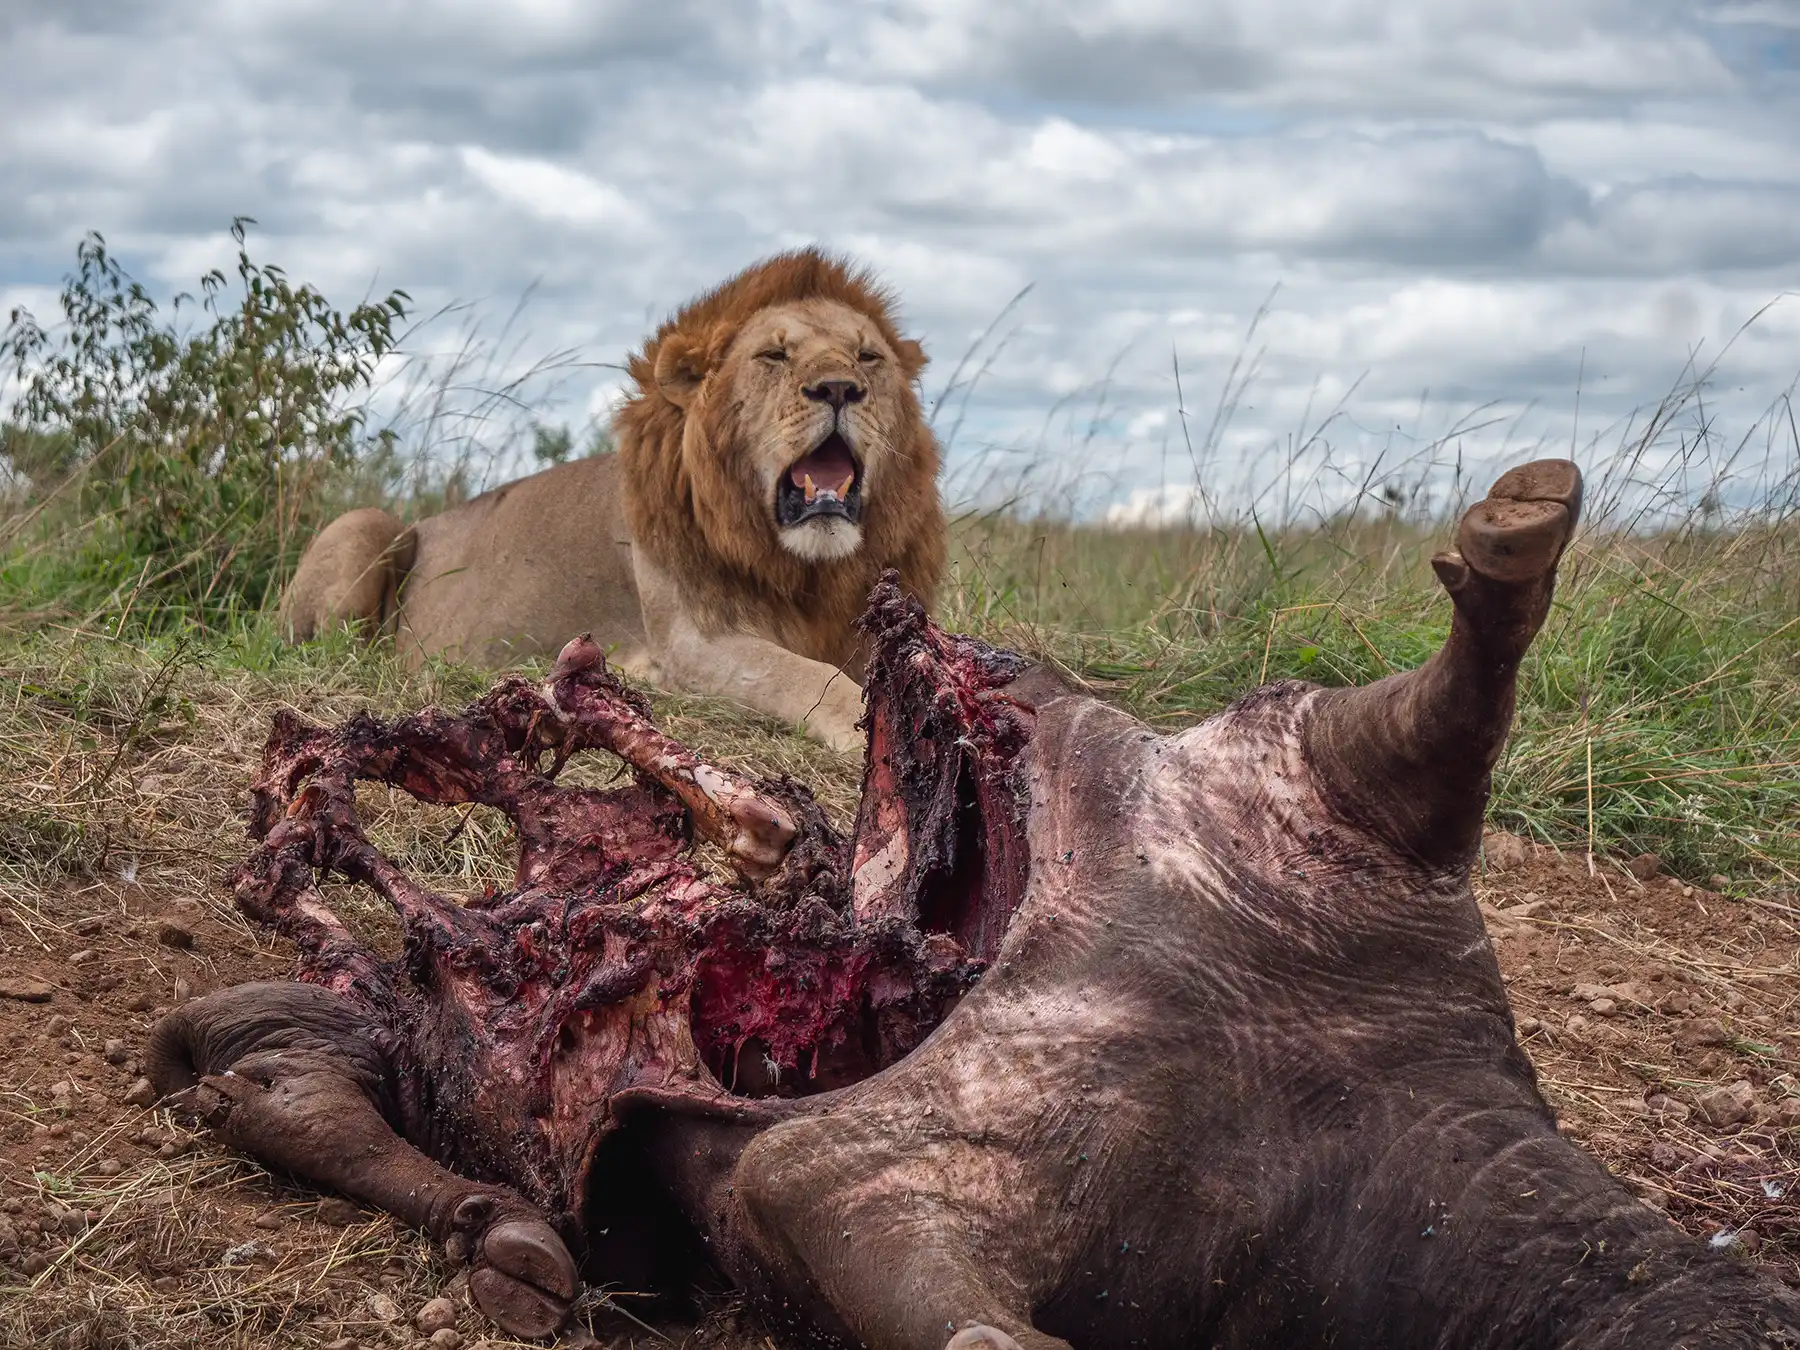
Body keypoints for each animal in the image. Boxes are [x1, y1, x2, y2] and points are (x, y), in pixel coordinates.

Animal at [278, 249, 947, 753]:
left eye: (868, 356)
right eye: (774, 355)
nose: (839, 388)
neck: (808, 567)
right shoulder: (693, 646)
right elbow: (814, 678)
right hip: (366, 524)